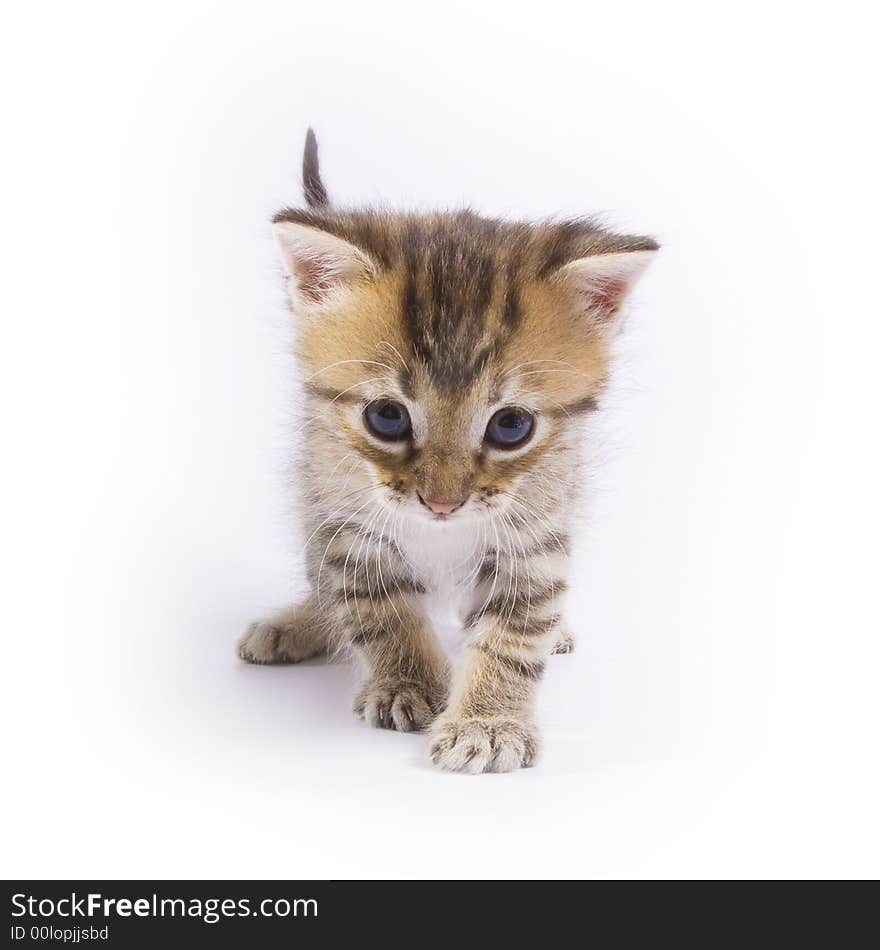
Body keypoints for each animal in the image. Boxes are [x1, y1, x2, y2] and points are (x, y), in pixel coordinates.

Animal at [237, 130, 656, 776]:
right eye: (386, 417)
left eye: (511, 426)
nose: (442, 504)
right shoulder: (343, 522)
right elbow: (376, 607)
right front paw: (406, 682)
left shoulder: (536, 535)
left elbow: (516, 632)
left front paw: (488, 722)